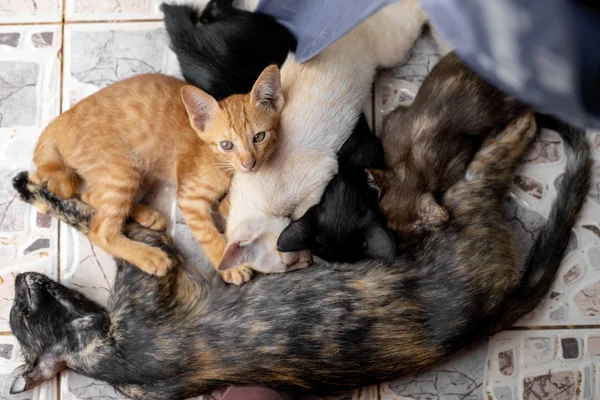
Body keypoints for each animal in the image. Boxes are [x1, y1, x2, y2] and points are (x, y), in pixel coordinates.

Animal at [31, 66, 284, 284]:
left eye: (259, 137)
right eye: (227, 145)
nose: (249, 163)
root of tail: (58, 121)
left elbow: (230, 206)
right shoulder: (189, 196)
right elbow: (207, 233)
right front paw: (230, 264)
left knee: (91, 196)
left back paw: (147, 215)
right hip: (124, 169)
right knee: (100, 230)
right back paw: (149, 256)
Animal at [372, 51, 528, 245]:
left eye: (409, 238)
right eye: (390, 229)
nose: (399, 247)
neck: (410, 163)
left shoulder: (456, 158)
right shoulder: (394, 120)